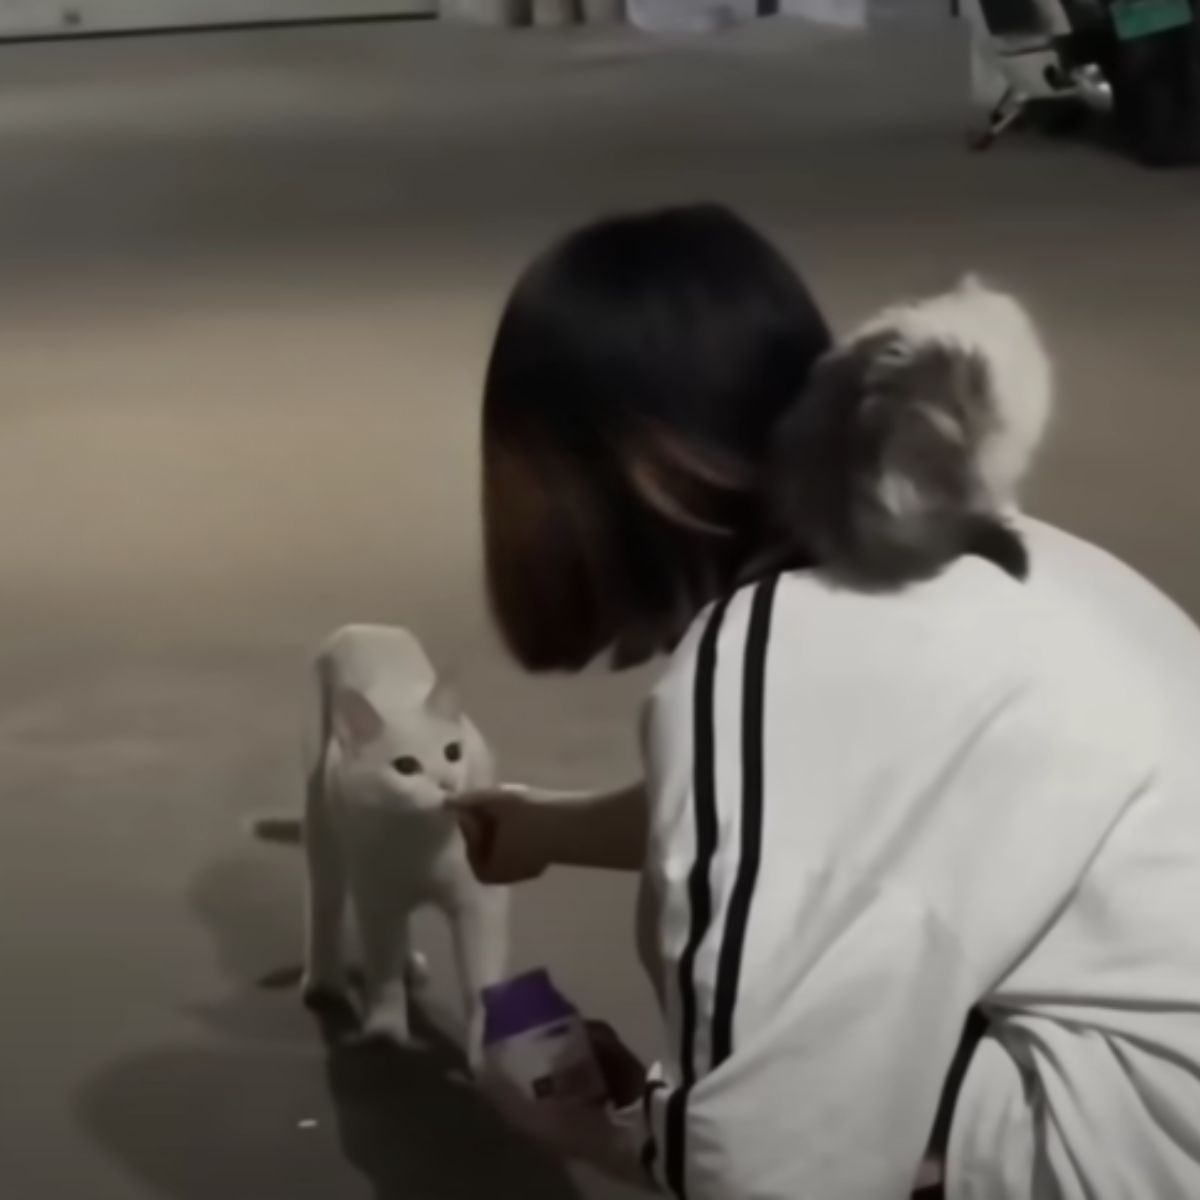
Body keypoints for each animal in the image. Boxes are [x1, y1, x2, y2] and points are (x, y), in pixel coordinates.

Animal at [255, 624, 508, 1065]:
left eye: (453, 752)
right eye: (406, 766)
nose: (448, 783)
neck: (422, 842)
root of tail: (364, 627)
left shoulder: (479, 904)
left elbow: (479, 981)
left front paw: (485, 1053)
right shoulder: (376, 897)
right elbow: (383, 972)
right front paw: (386, 1032)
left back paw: (409, 964)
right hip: (324, 835)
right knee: (323, 906)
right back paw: (323, 982)